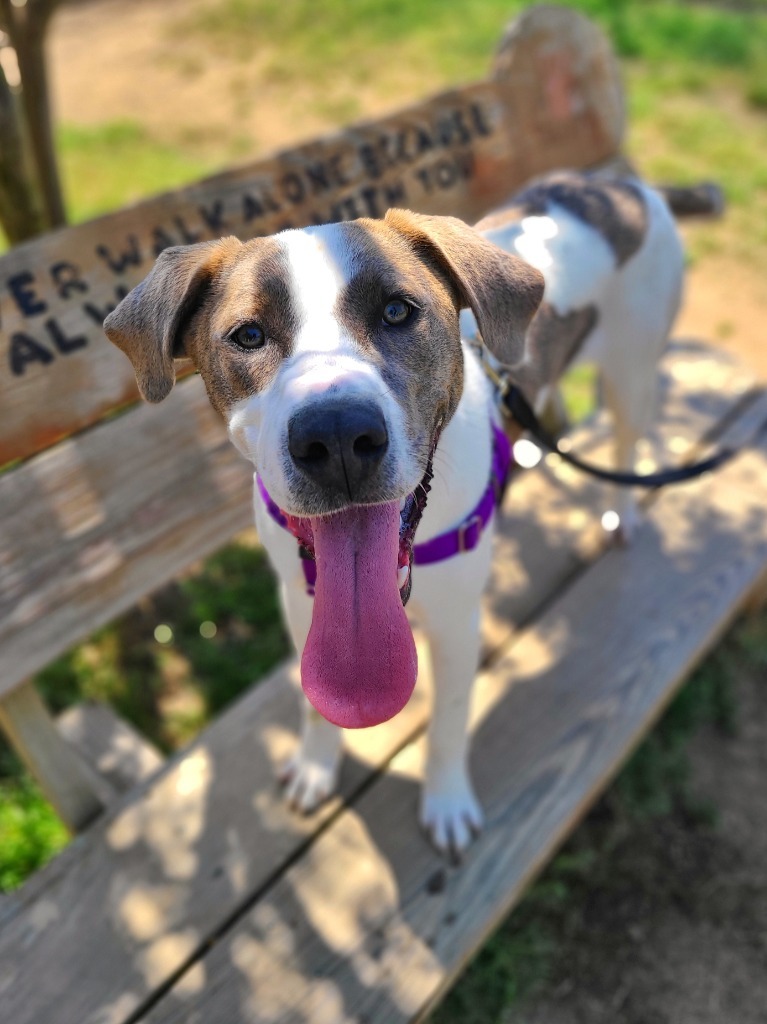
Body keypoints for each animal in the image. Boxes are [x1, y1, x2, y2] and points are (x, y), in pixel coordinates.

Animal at [103, 174, 684, 856]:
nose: (335, 437)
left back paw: (620, 516)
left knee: (626, 444)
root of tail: (618, 181)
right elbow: (314, 701)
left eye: (398, 311)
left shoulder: (459, 623)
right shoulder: (298, 600)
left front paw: (447, 801)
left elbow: (451, 719)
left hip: (632, 374)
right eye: (248, 335)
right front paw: (316, 766)